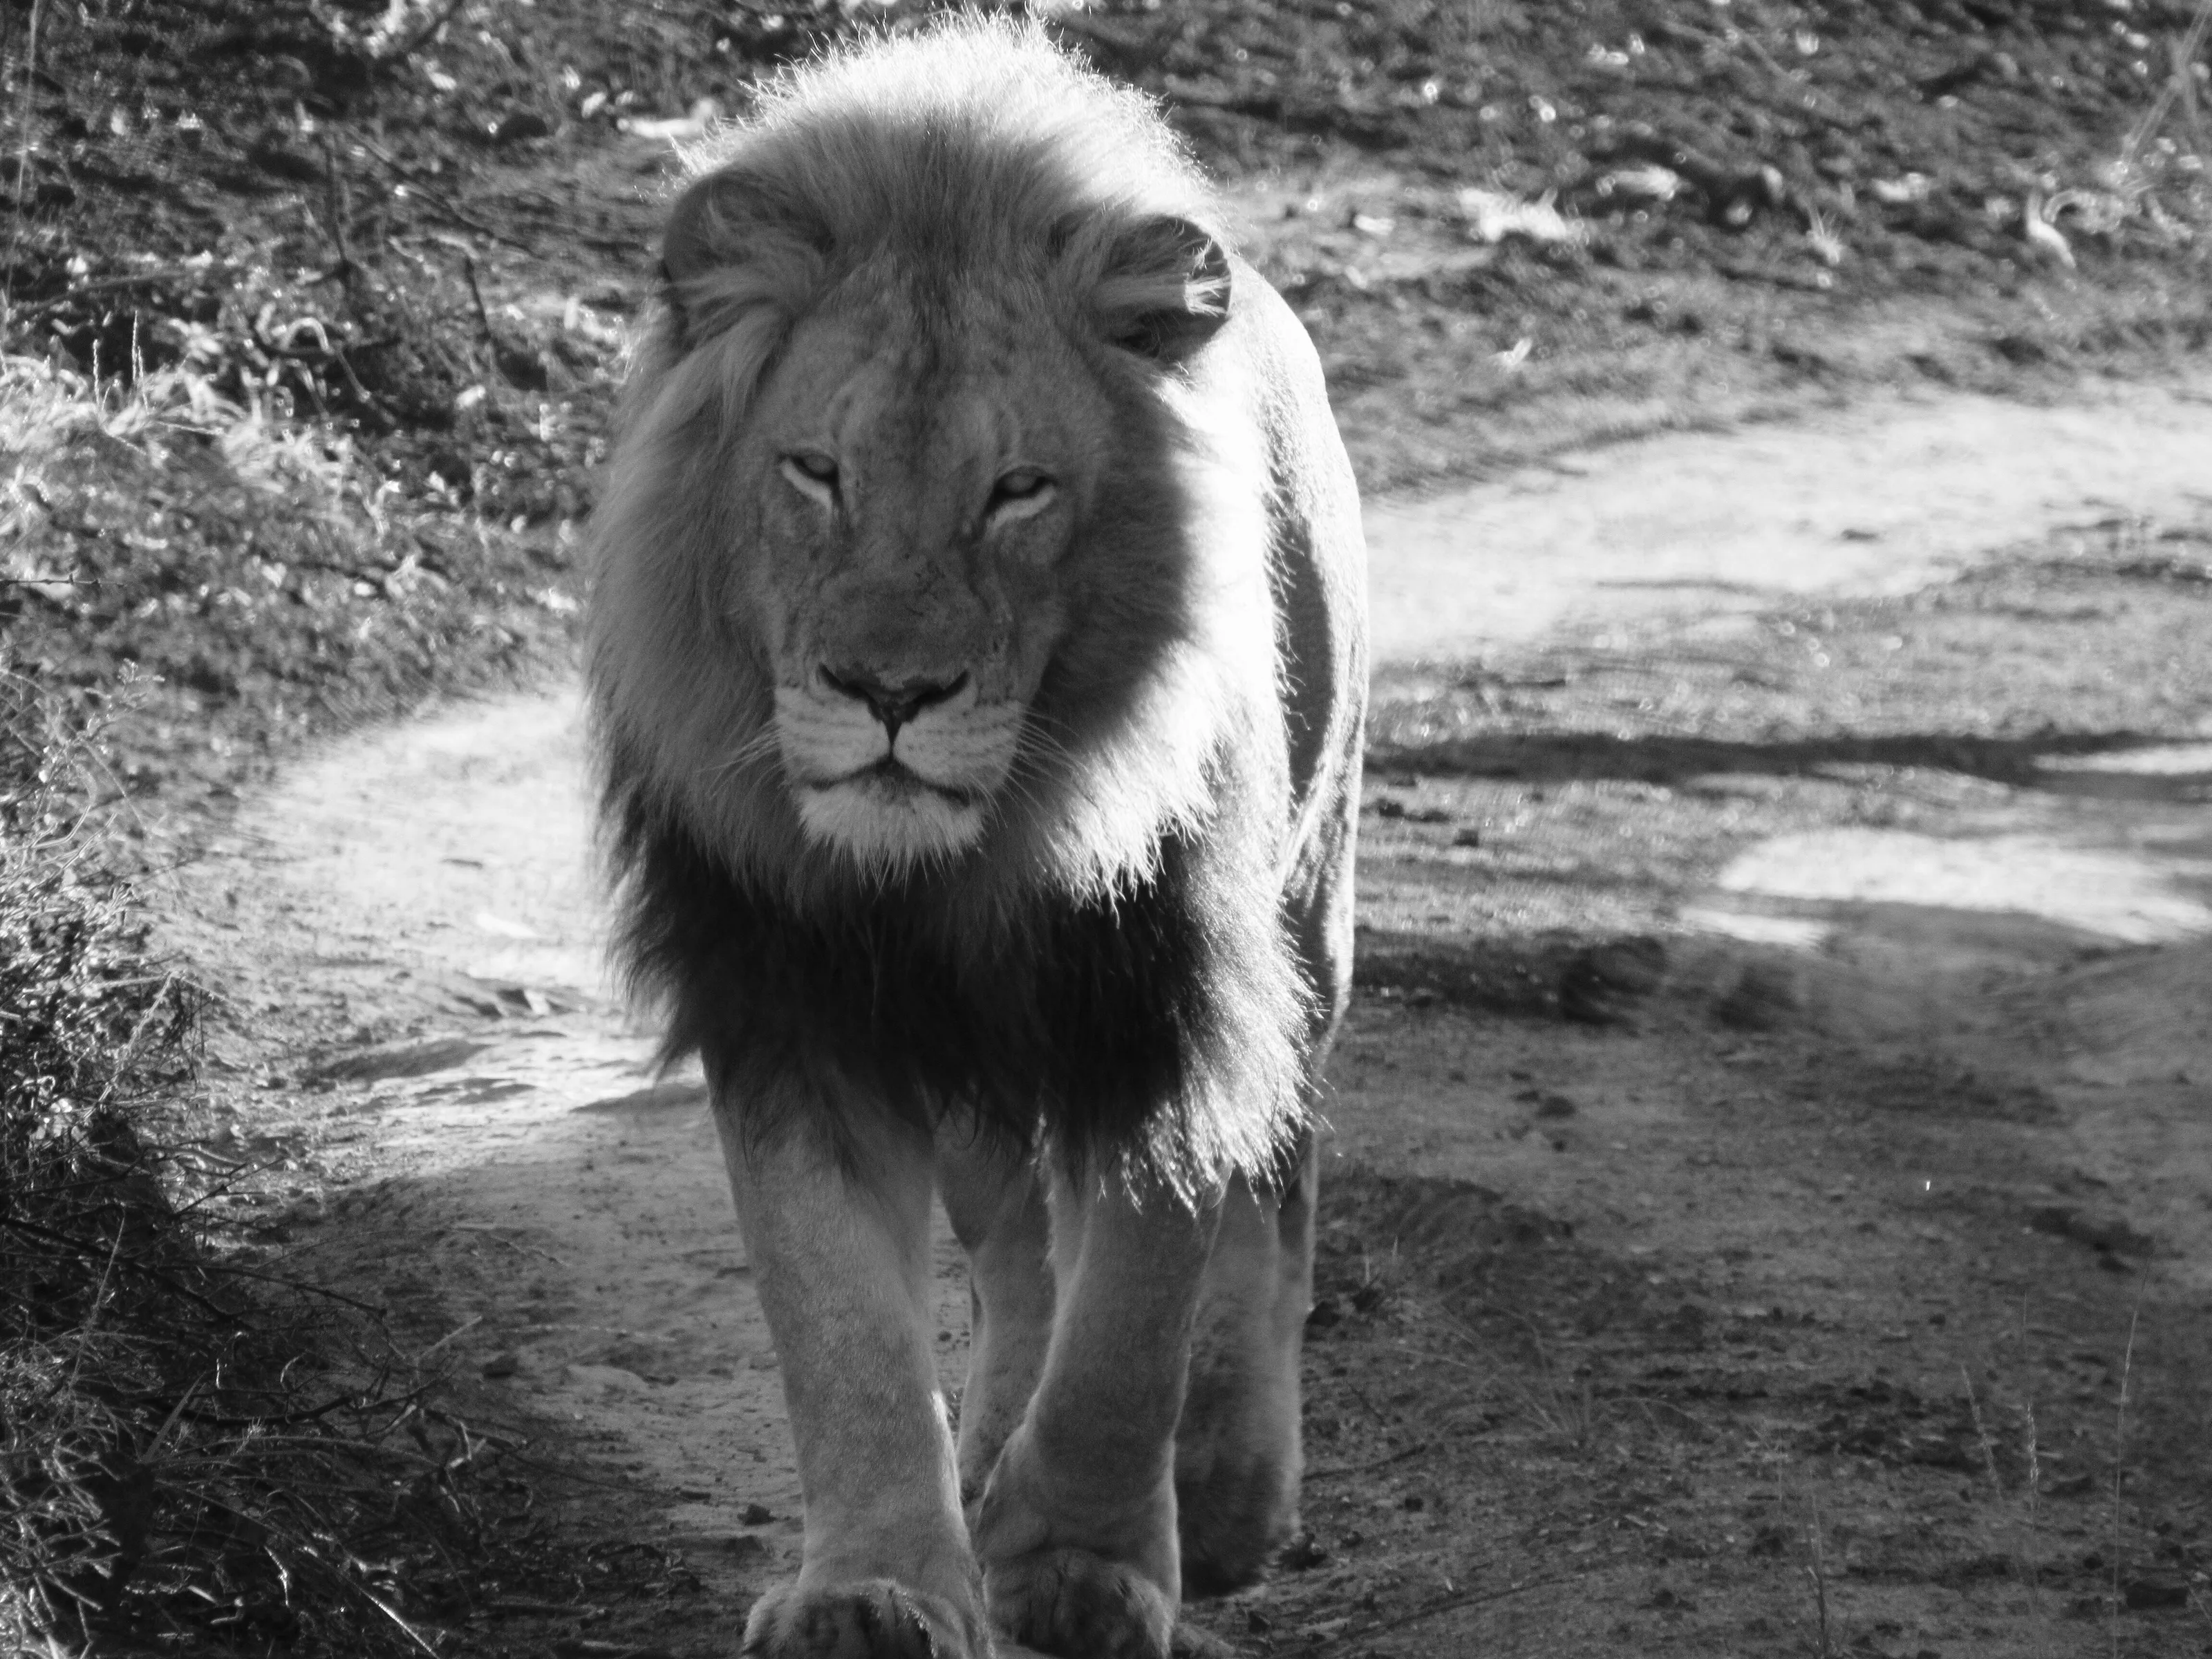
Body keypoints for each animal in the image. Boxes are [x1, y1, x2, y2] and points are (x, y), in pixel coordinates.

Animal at [586, 19, 1365, 1659]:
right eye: (815, 472)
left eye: (1018, 492)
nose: (889, 694)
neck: (961, 871)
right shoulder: (798, 1007)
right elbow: (843, 1328)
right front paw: (875, 1586)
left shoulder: (1162, 1003)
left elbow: (1136, 1310)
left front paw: (1083, 1568)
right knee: (1013, 1249)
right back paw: (999, 1442)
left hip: (1306, 925)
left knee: (1277, 1188)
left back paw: (1228, 1487)